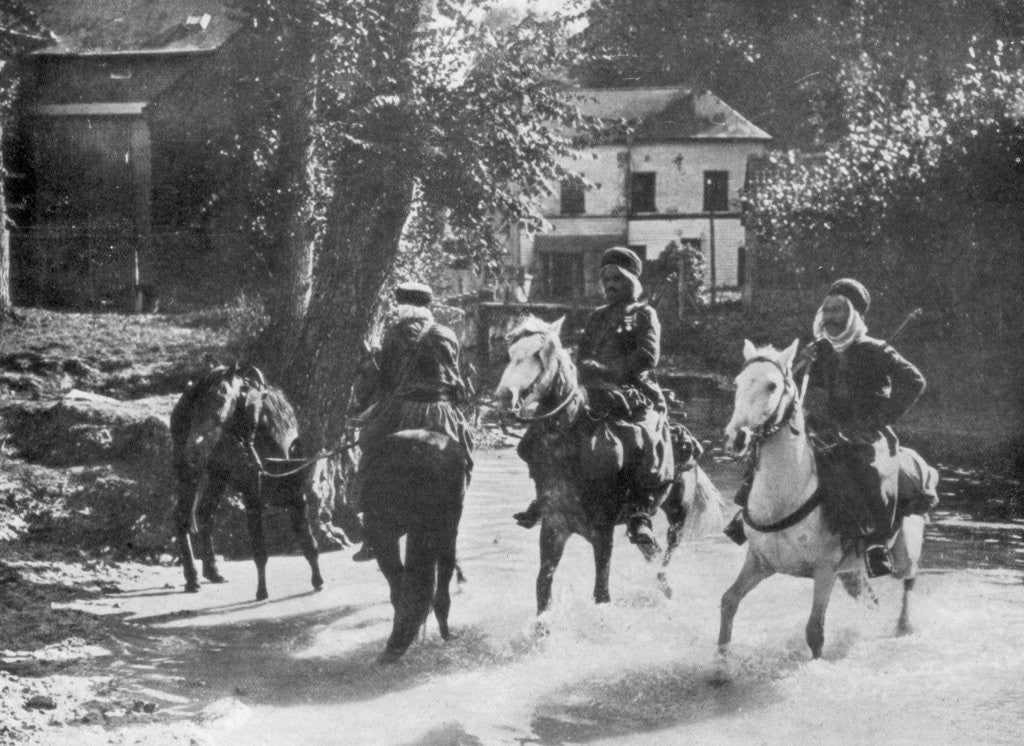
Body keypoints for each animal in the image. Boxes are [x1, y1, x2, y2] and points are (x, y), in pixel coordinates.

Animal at [171, 364, 323, 601]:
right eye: (199, 405)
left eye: (223, 400)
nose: (193, 450)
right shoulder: (253, 501)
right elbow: (260, 553)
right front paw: (262, 592)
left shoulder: (298, 498)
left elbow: (309, 542)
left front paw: (318, 581)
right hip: (189, 476)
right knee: (183, 518)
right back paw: (192, 578)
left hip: (218, 476)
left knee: (206, 514)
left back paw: (213, 572)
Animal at [493, 315, 720, 609]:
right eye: (510, 354)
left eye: (537, 354)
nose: (502, 397)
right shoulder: (554, 527)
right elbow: (543, 586)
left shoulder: (602, 532)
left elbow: (602, 592)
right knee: (654, 554)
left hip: (678, 515)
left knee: (666, 555)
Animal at [716, 337, 925, 659]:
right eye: (738, 383)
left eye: (772, 385)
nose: (736, 438)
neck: (786, 495)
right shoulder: (759, 562)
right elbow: (729, 601)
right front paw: (722, 660)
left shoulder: (825, 570)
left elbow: (814, 631)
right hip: (852, 571)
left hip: (904, 554)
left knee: (910, 579)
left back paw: (904, 626)